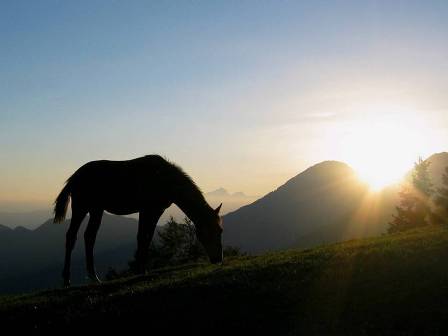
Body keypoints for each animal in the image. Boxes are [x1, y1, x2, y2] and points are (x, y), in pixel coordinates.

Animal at [53, 155, 223, 286]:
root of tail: (75, 176)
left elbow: (147, 237)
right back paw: (67, 280)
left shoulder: (157, 211)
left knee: (89, 237)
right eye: (214, 231)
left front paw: (143, 268)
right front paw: (141, 270)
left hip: (96, 210)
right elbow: (142, 236)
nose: (218, 259)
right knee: (71, 236)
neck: (164, 178)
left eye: (220, 231)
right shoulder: (146, 210)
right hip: (81, 208)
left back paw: (94, 277)